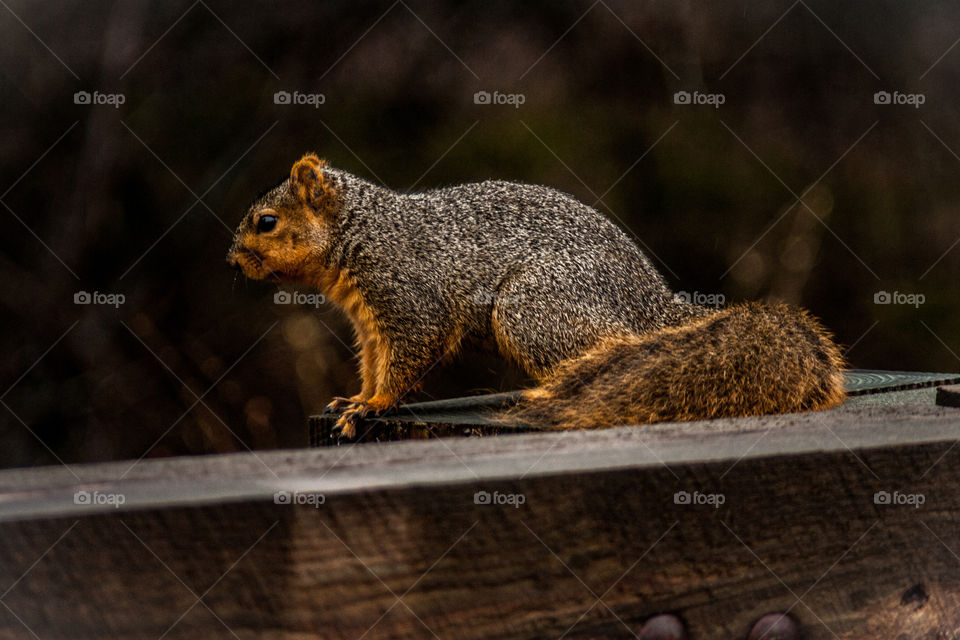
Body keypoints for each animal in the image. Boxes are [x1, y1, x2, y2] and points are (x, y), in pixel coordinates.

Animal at [227, 153, 846, 439]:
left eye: (266, 221)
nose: (232, 260)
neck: (363, 234)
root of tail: (653, 306)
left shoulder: (409, 296)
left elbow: (407, 357)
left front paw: (373, 406)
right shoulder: (371, 321)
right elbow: (377, 362)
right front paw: (355, 398)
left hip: (534, 309)